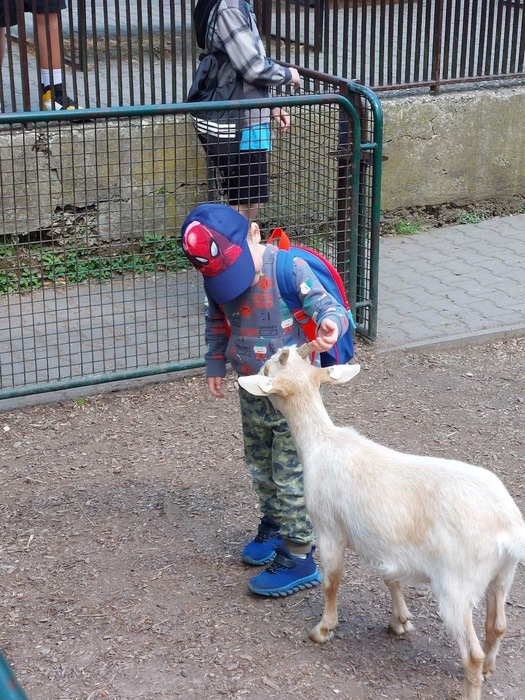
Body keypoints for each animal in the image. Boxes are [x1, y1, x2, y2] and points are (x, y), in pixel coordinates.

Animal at [238, 343, 525, 700]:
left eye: (267, 370)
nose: (256, 371)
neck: (322, 444)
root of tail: (508, 530)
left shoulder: (329, 529)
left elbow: (332, 581)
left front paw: (323, 629)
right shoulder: (384, 543)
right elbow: (391, 579)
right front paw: (400, 621)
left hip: (456, 584)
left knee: (471, 652)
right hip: (503, 574)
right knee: (497, 625)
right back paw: (489, 667)